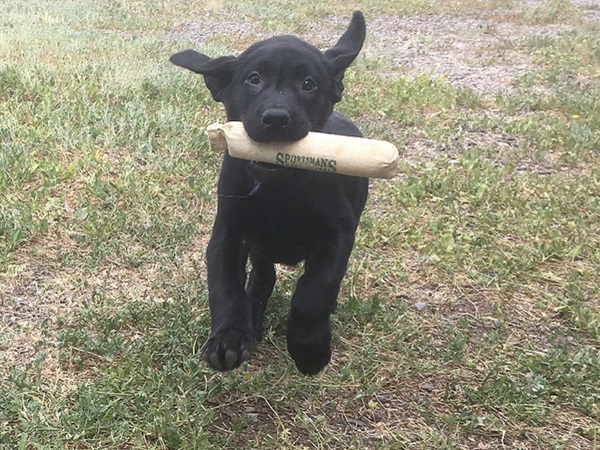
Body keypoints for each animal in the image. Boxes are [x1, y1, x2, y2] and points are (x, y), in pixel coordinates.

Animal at [171, 11, 370, 376]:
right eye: (253, 79)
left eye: (308, 84)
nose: (276, 118)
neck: (280, 189)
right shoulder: (228, 232)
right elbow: (225, 286)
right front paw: (229, 337)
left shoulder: (338, 232)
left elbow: (314, 289)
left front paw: (309, 349)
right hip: (260, 247)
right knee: (264, 275)